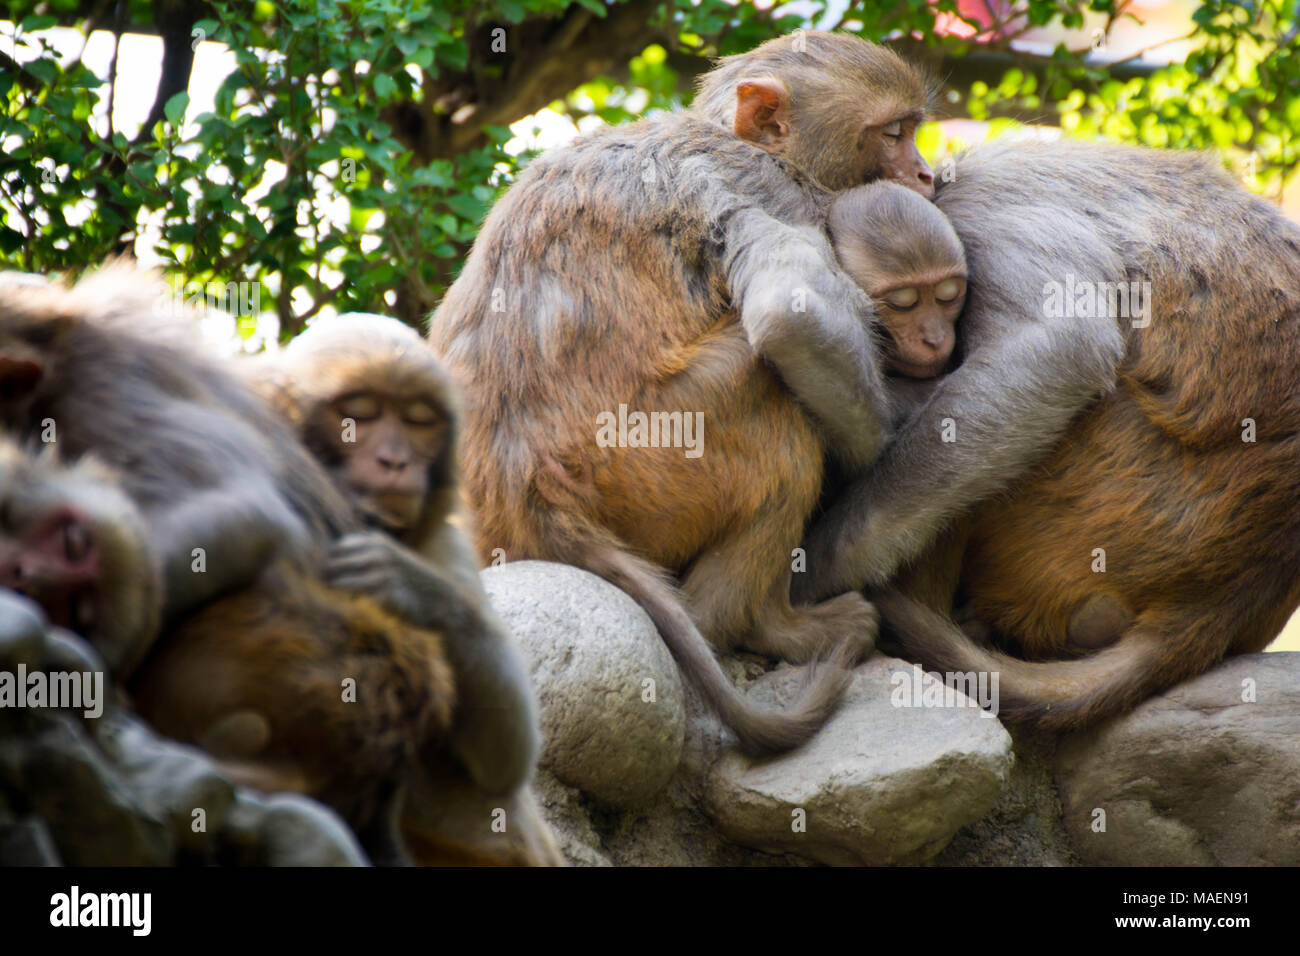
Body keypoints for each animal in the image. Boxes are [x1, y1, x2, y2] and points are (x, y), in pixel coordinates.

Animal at [428, 31, 935, 754]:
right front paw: (871, 448)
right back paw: (759, 625)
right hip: (655, 458)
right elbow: (792, 313)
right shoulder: (777, 194)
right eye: (893, 133)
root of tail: (531, 495)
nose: (923, 175)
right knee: (775, 414)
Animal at [795, 138, 1300, 728]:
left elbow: (1060, 347)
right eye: (903, 305)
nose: (932, 338)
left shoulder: (977, 220)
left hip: (1099, 499)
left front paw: (817, 568)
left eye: (940, 297)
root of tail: (1231, 589)